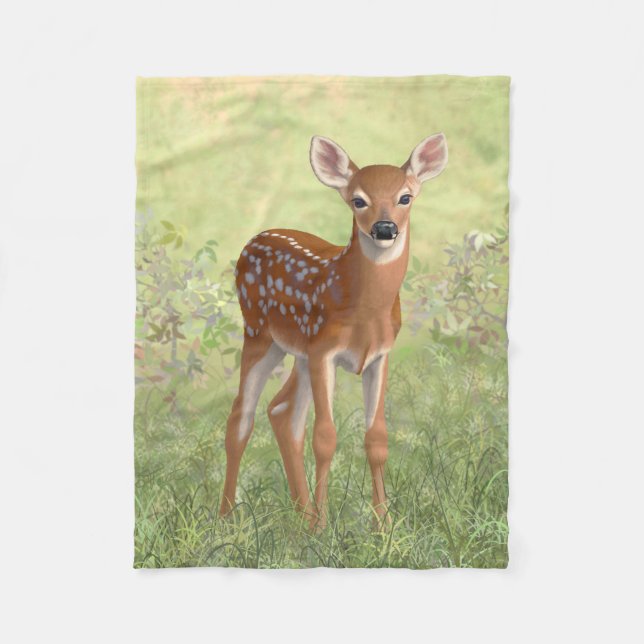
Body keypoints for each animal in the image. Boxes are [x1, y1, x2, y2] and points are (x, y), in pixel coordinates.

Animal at [219, 133, 448, 530]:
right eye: (358, 200)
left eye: (405, 197)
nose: (384, 229)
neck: (364, 310)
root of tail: (255, 237)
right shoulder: (324, 351)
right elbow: (324, 437)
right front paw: (327, 527)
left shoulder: (379, 355)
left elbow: (377, 439)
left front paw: (383, 526)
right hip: (260, 333)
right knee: (241, 416)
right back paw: (227, 519)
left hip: (298, 351)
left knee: (282, 412)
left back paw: (302, 520)